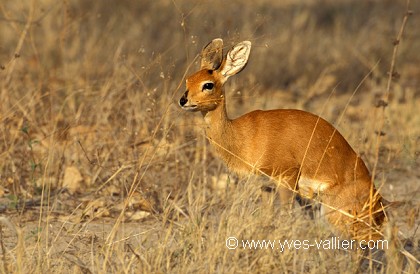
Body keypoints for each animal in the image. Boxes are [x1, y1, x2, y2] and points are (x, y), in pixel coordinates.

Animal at [179, 39, 386, 242]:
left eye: (208, 84)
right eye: (188, 79)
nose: (183, 100)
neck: (243, 136)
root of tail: (379, 209)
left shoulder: (287, 177)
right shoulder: (265, 186)